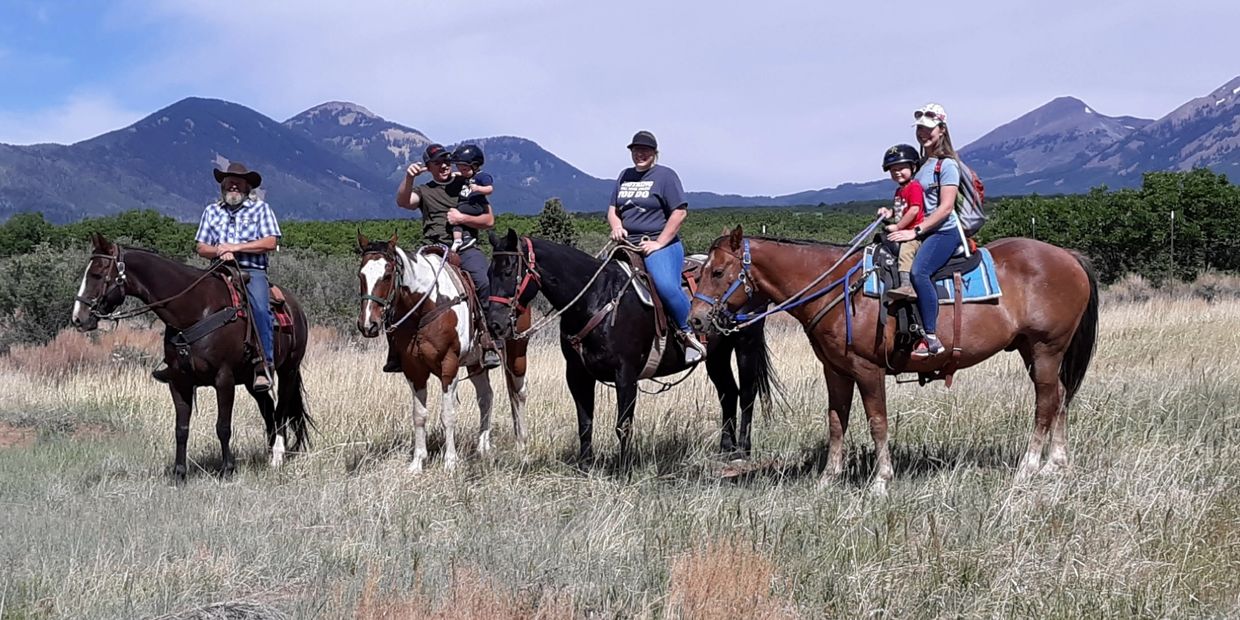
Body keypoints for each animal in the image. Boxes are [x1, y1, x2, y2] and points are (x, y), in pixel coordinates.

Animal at [71, 234, 314, 481]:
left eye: (97, 274)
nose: (78, 318)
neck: (197, 309)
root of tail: (295, 307)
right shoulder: (179, 381)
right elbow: (181, 429)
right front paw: (179, 472)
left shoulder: (224, 379)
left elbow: (223, 426)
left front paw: (227, 469)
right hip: (251, 381)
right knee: (268, 410)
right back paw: (268, 453)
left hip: (288, 371)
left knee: (280, 411)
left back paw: (277, 457)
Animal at [354, 234, 528, 471]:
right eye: (360, 275)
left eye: (387, 275)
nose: (367, 325)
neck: (426, 305)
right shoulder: (414, 370)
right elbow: (419, 415)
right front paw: (417, 462)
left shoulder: (449, 365)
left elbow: (448, 414)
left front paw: (450, 462)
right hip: (476, 363)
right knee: (486, 397)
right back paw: (482, 446)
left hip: (517, 352)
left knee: (518, 393)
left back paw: (522, 445)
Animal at [483, 230, 773, 463]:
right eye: (488, 272)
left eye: (508, 271)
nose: (495, 323)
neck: (597, 298)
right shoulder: (577, 374)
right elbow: (585, 422)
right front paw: (585, 465)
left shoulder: (626, 373)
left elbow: (623, 425)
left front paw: (624, 467)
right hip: (716, 355)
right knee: (728, 393)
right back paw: (726, 449)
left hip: (746, 344)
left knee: (747, 394)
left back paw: (743, 450)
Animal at [694, 228, 1101, 493]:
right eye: (700, 272)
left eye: (717, 272)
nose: (697, 320)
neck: (842, 289)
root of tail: (1069, 257)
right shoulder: (835, 371)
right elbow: (836, 421)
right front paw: (828, 477)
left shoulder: (867, 370)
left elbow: (877, 422)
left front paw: (881, 479)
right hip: (1035, 351)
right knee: (1060, 397)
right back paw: (1056, 463)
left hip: (1046, 349)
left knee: (1046, 402)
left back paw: (1030, 466)